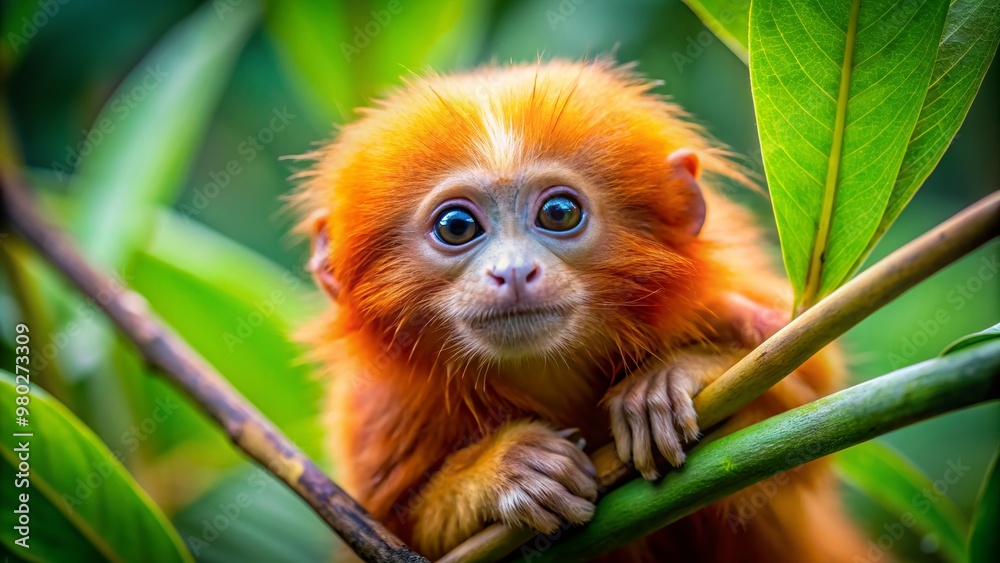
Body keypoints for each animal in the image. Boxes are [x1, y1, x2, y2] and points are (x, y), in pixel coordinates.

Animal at [294, 59, 865, 561]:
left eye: (559, 212)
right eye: (456, 227)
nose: (513, 272)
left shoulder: (722, 302)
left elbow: (806, 411)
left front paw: (675, 378)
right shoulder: (383, 410)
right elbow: (394, 533)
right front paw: (502, 472)